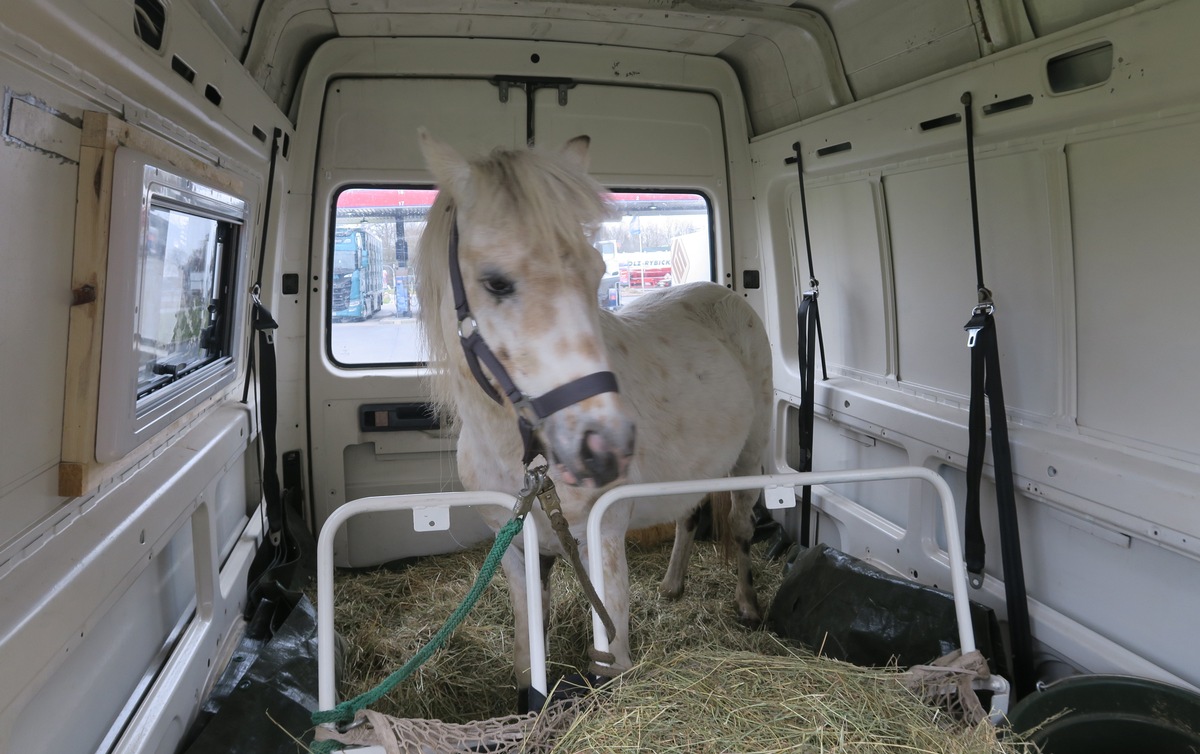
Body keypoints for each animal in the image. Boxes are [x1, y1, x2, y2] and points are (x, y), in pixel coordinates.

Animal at [412, 130, 768, 705]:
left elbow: (613, 656)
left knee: (738, 528)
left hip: (750, 459)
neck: (518, 456)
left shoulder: (603, 541)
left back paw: (749, 606)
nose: (607, 445)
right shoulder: (517, 552)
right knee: (689, 515)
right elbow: (527, 653)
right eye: (495, 282)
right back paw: (672, 586)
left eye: (598, 270)